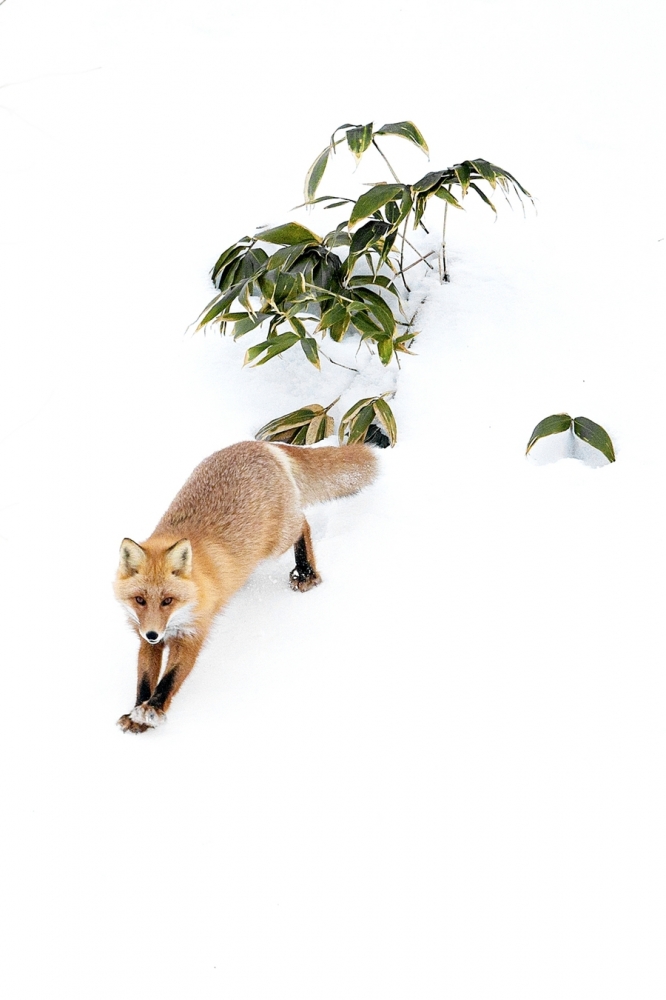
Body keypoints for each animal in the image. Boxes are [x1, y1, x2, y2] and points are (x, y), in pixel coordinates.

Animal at [113, 442, 374, 732]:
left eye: (168, 601)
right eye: (140, 600)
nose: (152, 634)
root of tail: (261, 445)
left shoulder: (194, 634)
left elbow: (170, 679)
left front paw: (154, 709)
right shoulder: (146, 638)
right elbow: (145, 678)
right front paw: (136, 712)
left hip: (277, 541)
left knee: (303, 522)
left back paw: (306, 571)